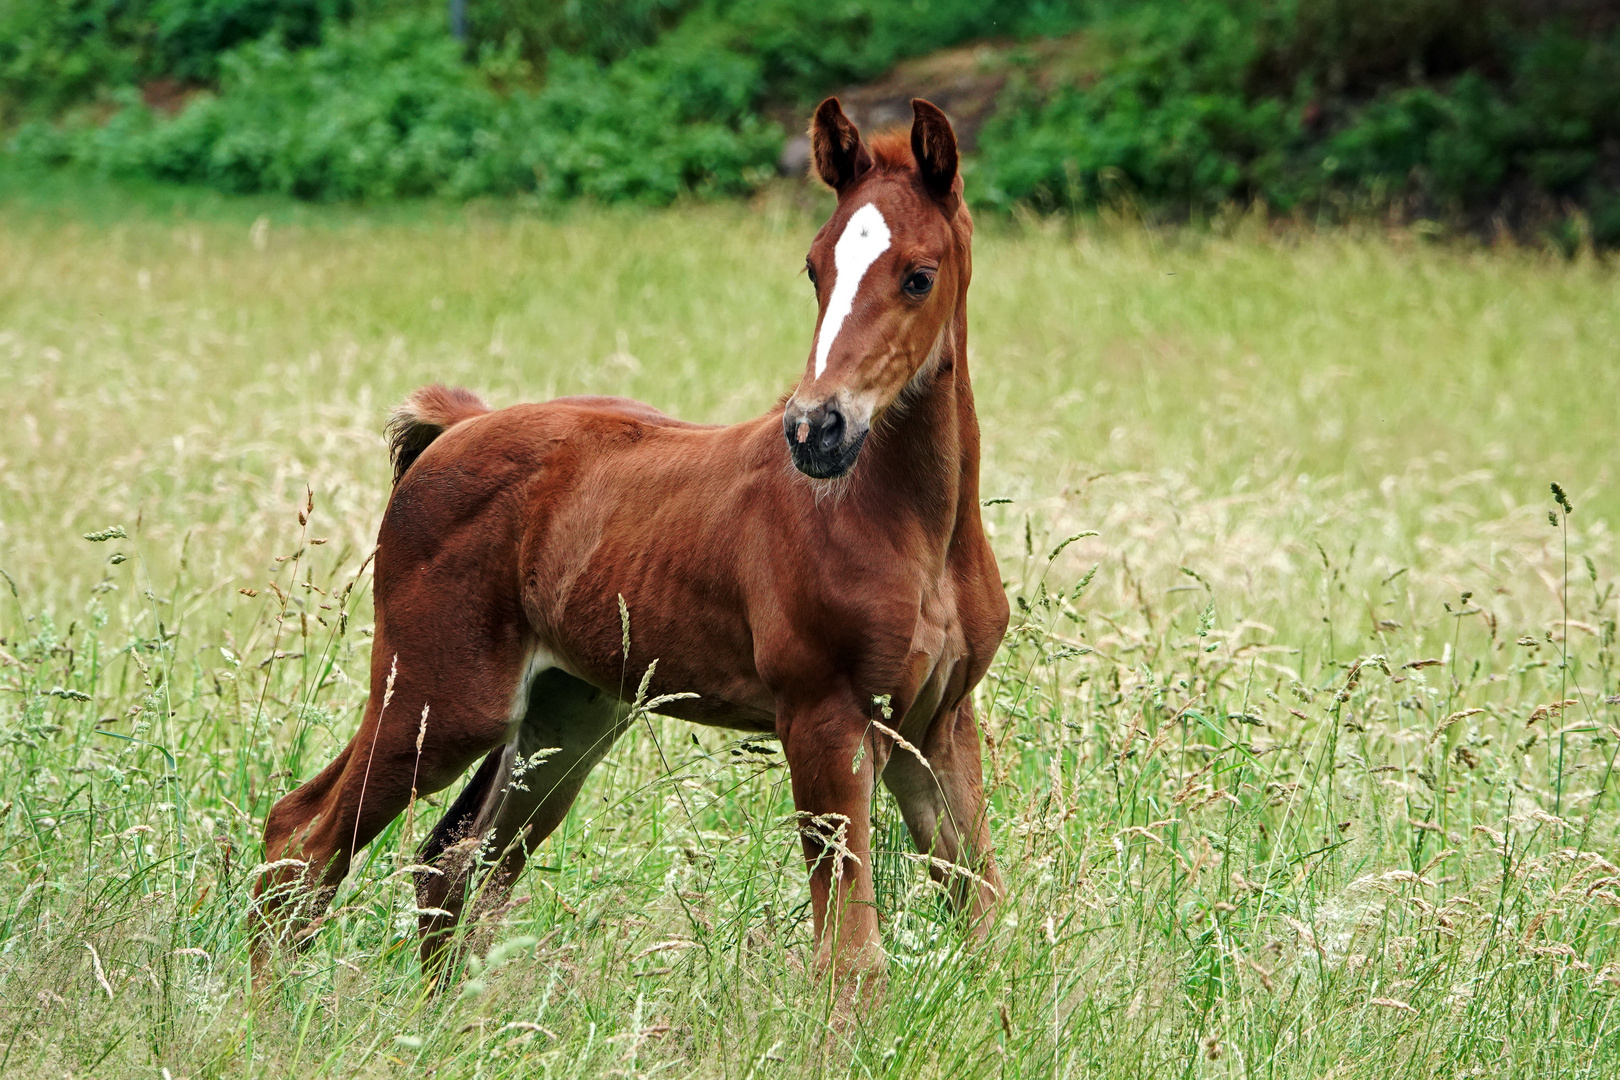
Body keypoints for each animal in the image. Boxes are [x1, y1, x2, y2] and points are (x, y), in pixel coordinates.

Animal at [252, 97, 1004, 984]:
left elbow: (985, 915)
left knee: (452, 862)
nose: (815, 428)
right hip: (438, 698)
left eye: (919, 275)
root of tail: (459, 428)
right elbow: (850, 956)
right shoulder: (825, 719)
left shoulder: (936, 724)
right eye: (815, 269)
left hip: (563, 716)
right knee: (302, 835)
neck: (914, 529)